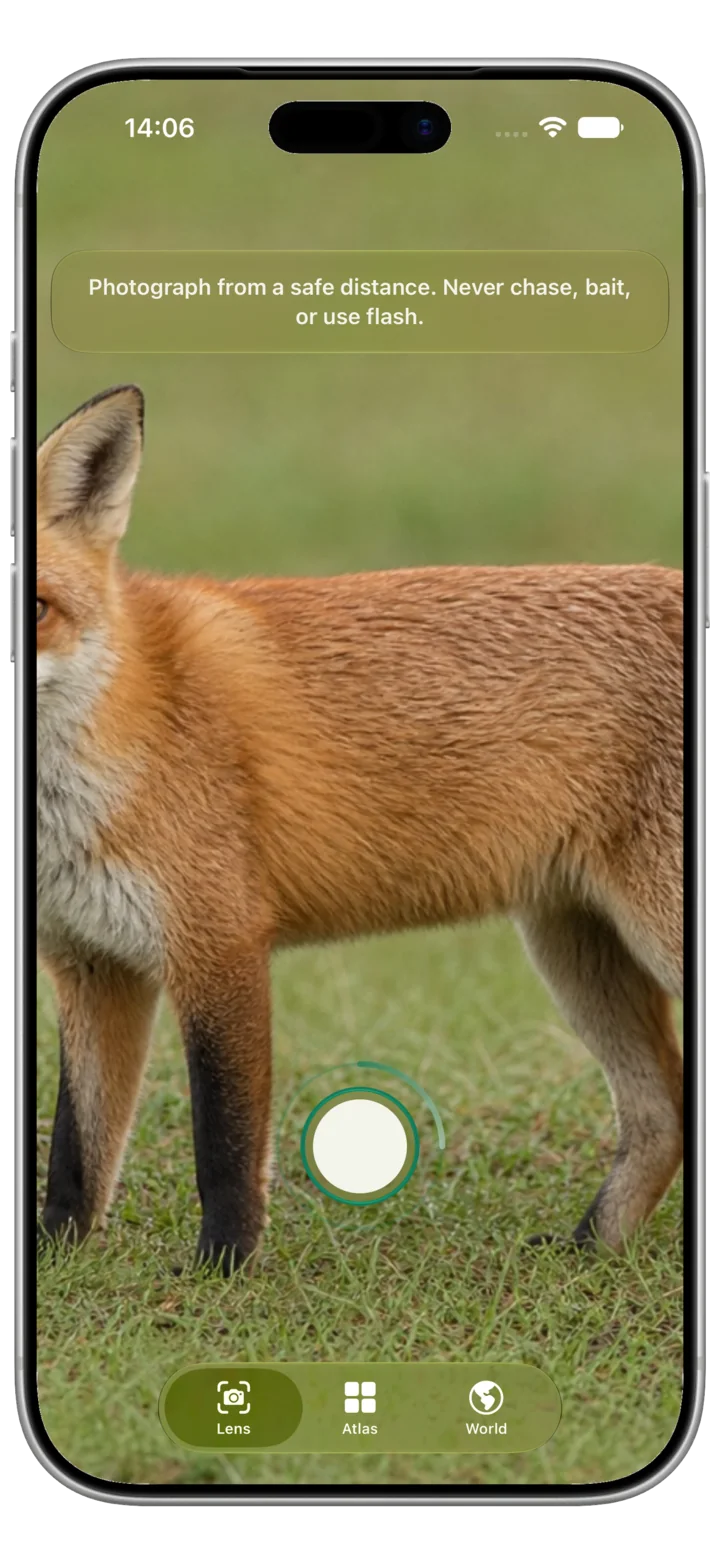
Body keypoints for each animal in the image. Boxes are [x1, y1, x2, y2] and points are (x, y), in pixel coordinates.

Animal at [36, 385, 684, 1276]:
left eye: (34, 608)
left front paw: (223, 1271)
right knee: (664, 1116)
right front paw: (54, 1260)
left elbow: (224, 1143)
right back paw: (592, 1249)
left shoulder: (220, 944)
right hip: (576, 950)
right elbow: (76, 1152)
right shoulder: (91, 962)